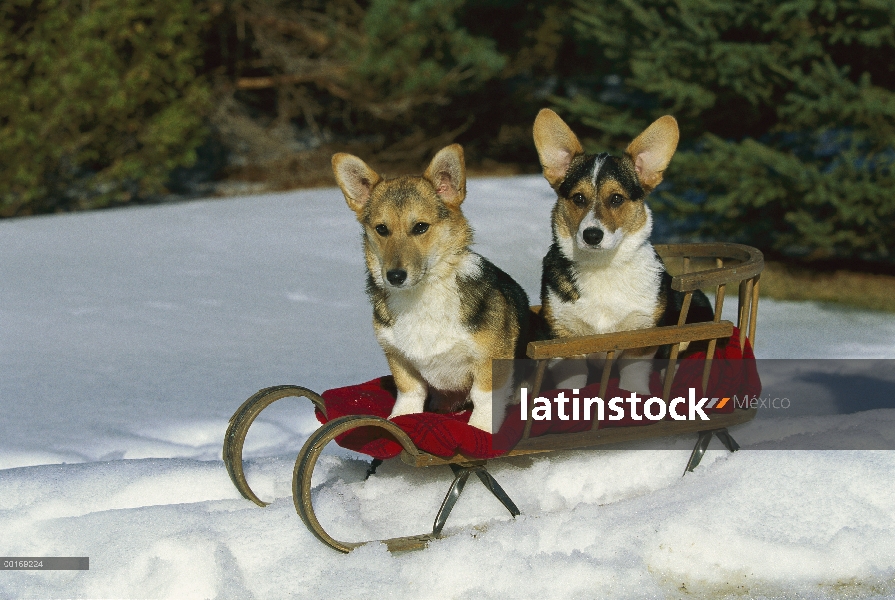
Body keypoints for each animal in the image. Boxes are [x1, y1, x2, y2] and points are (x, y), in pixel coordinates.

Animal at [336, 146, 532, 436]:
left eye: (420, 227)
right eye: (381, 229)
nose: (395, 277)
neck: (422, 295)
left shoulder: (490, 361)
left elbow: (484, 399)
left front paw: (480, 430)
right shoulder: (399, 359)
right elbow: (409, 393)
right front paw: (399, 421)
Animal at [532, 110, 712, 396]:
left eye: (616, 198)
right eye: (578, 198)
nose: (592, 235)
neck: (602, 265)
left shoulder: (640, 337)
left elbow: (633, 376)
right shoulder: (564, 339)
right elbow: (572, 380)